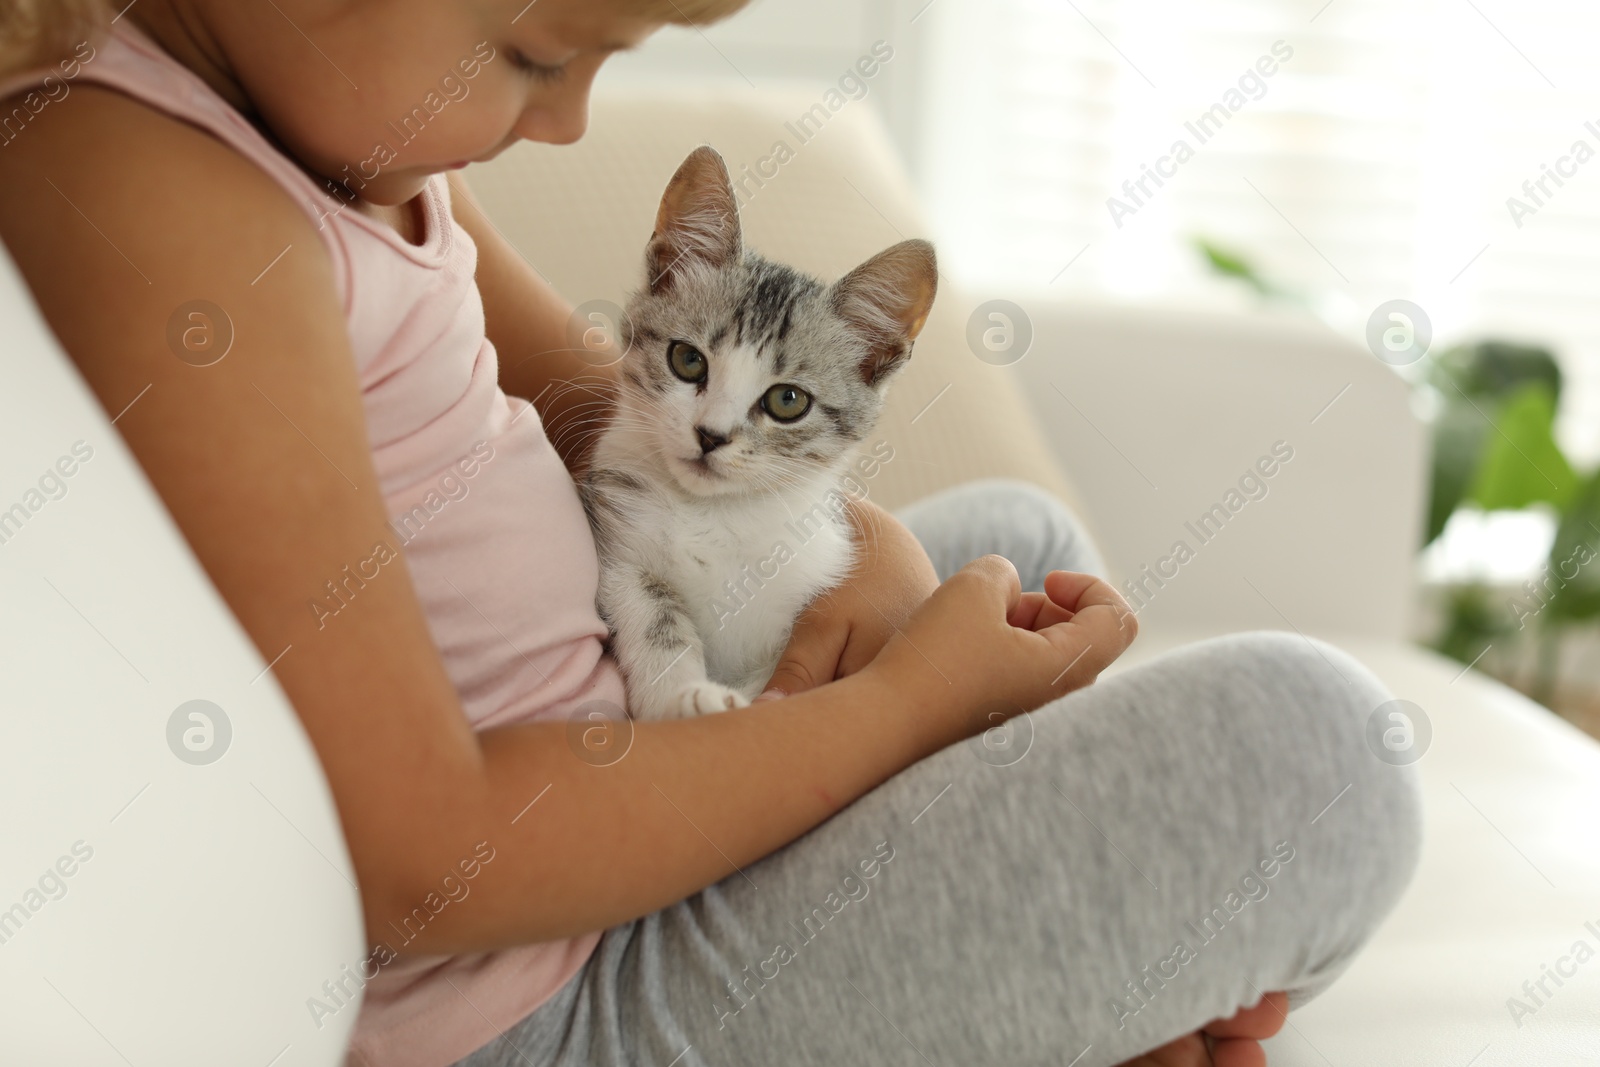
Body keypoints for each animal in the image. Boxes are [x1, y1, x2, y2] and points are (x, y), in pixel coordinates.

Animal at [582, 146, 934, 723]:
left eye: (787, 401)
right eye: (687, 359)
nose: (711, 435)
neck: (717, 514)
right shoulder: (620, 551)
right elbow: (654, 616)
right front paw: (683, 695)